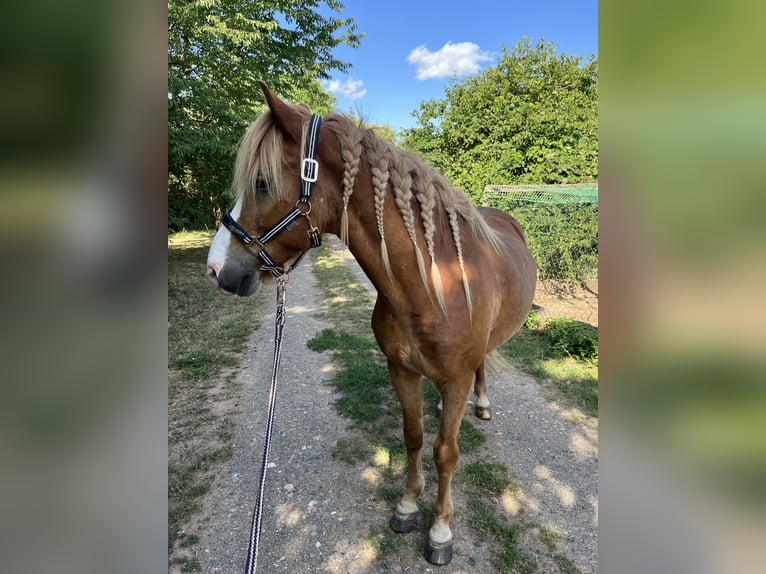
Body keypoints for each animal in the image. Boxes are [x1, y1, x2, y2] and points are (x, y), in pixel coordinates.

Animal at [206, 82, 537, 565]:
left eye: (262, 184)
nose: (216, 270)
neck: (433, 285)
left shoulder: (455, 380)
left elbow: (446, 452)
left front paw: (440, 530)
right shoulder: (401, 370)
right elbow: (414, 436)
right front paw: (407, 506)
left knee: (480, 369)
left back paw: (483, 404)